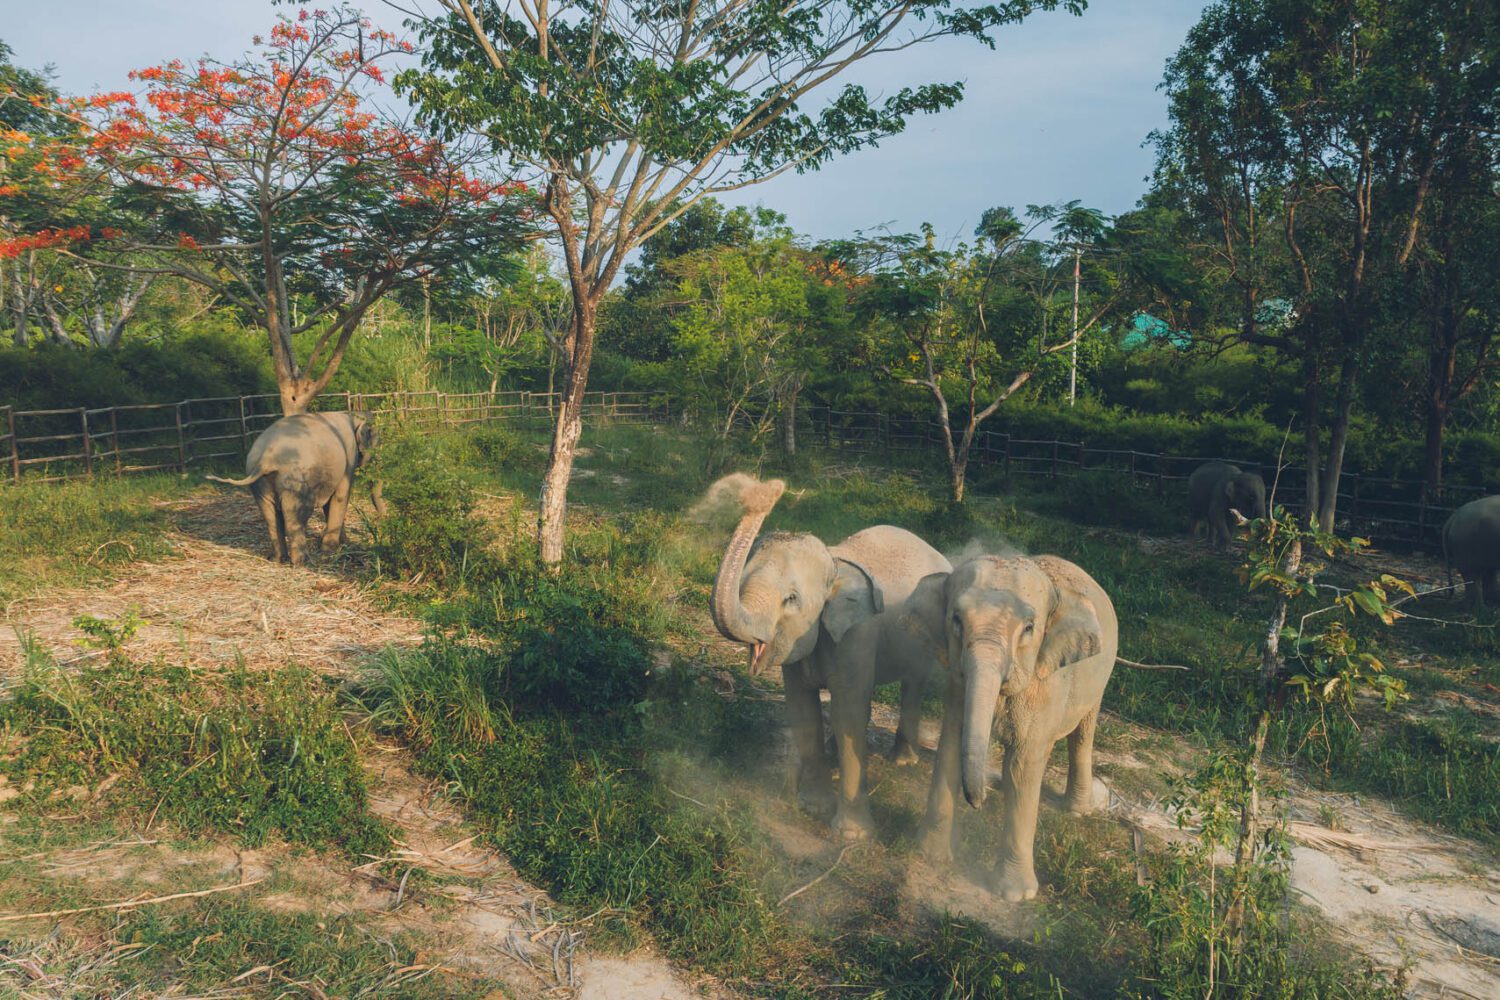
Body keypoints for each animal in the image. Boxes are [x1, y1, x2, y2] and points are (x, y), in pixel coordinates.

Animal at [205, 407, 381, 563]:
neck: (353, 413)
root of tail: (265, 459)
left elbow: (330, 503)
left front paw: (342, 544)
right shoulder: (349, 455)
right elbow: (340, 496)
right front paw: (330, 550)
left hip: (259, 483)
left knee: (271, 519)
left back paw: (278, 559)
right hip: (294, 482)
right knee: (296, 518)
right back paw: (303, 562)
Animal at [912, 551, 1116, 905]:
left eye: (1029, 628)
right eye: (956, 619)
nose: (976, 803)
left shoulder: (1047, 684)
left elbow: (1023, 765)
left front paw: (1016, 895)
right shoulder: (958, 685)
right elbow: (951, 746)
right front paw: (931, 856)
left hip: (1100, 677)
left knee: (1082, 733)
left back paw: (1076, 811)